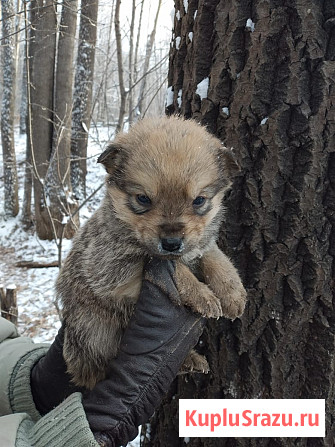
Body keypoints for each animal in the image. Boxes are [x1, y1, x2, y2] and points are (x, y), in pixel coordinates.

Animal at [56, 117, 247, 390]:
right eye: (143, 199)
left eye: (199, 200)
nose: (171, 243)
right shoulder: (112, 266)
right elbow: (170, 266)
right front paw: (202, 295)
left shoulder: (200, 243)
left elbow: (215, 257)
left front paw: (233, 294)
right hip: (95, 327)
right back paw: (188, 359)